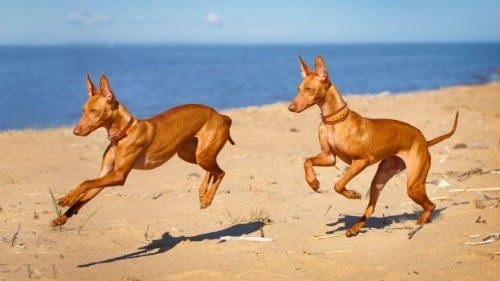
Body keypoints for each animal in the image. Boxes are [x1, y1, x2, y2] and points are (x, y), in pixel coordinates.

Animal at [51, 74, 235, 225]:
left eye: (94, 111)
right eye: (83, 110)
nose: (75, 131)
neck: (123, 134)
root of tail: (221, 116)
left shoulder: (118, 175)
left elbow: (85, 182)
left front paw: (65, 199)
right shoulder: (105, 174)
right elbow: (84, 195)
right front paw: (62, 217)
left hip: (201, 155)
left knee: (221, 172)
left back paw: (208, 198)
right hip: (190, 154)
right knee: (212, 170)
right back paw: (203, 192)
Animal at [290, 55, 458, 237]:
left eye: (308, 89)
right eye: (298, 89)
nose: (290, 107)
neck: (334, 121)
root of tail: (424, 141)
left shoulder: (362, 160)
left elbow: (338, 184)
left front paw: (352, 194)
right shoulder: (329, 157)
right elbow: (307, 161)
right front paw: (313, 182)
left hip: (413, 185)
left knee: (431, 205)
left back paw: (418, 225)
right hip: (379, 180)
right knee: (371, 208)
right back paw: (355, 228)